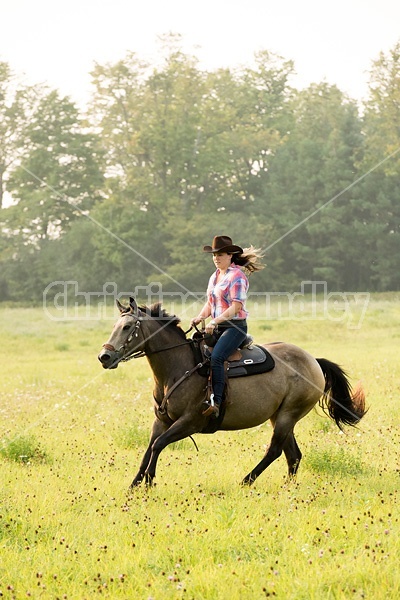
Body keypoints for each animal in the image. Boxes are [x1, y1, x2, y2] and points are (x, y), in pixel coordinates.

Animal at [97, 296, 366, 488]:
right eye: (115, 326)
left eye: (127, 327)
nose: (104, 356)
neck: (179, 367)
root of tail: (313, 361)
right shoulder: (161, 420)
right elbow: (149, 447)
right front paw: (134, 485)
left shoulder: (190, 422)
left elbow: (158, 445)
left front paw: (150, 483)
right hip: (280, 417)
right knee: (293, 455)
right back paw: (286, 488)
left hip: (288, 415)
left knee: (275, 451)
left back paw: (246, 481)